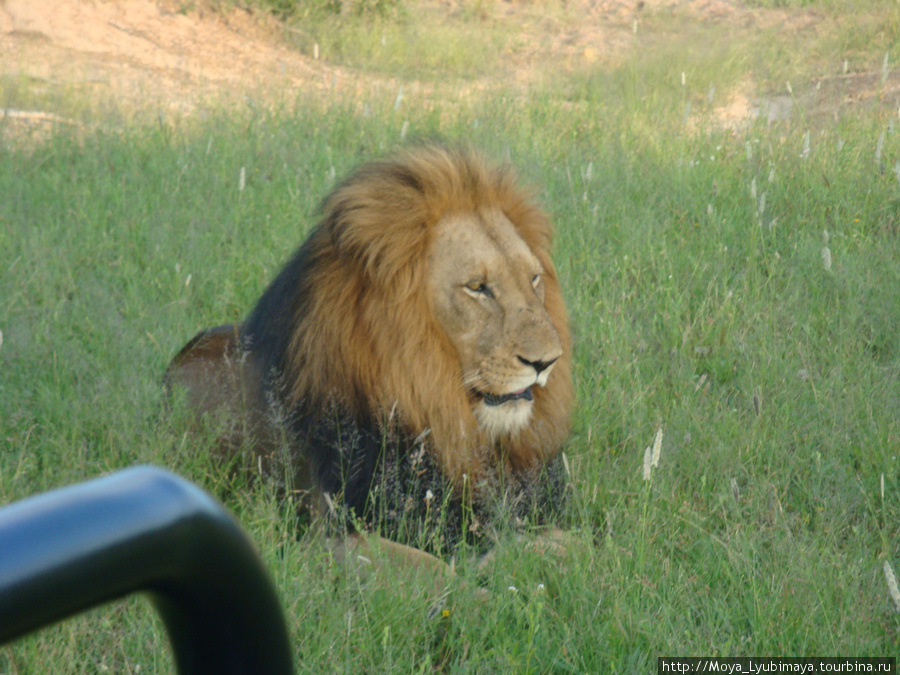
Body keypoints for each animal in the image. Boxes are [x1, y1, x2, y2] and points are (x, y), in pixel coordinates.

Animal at [167, 147, 576, 576]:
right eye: (477, 288)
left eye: (533, 279)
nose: (547, 361)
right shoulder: (326, 535)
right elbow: (436, 571)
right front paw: (489, 567)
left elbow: (578, 542)